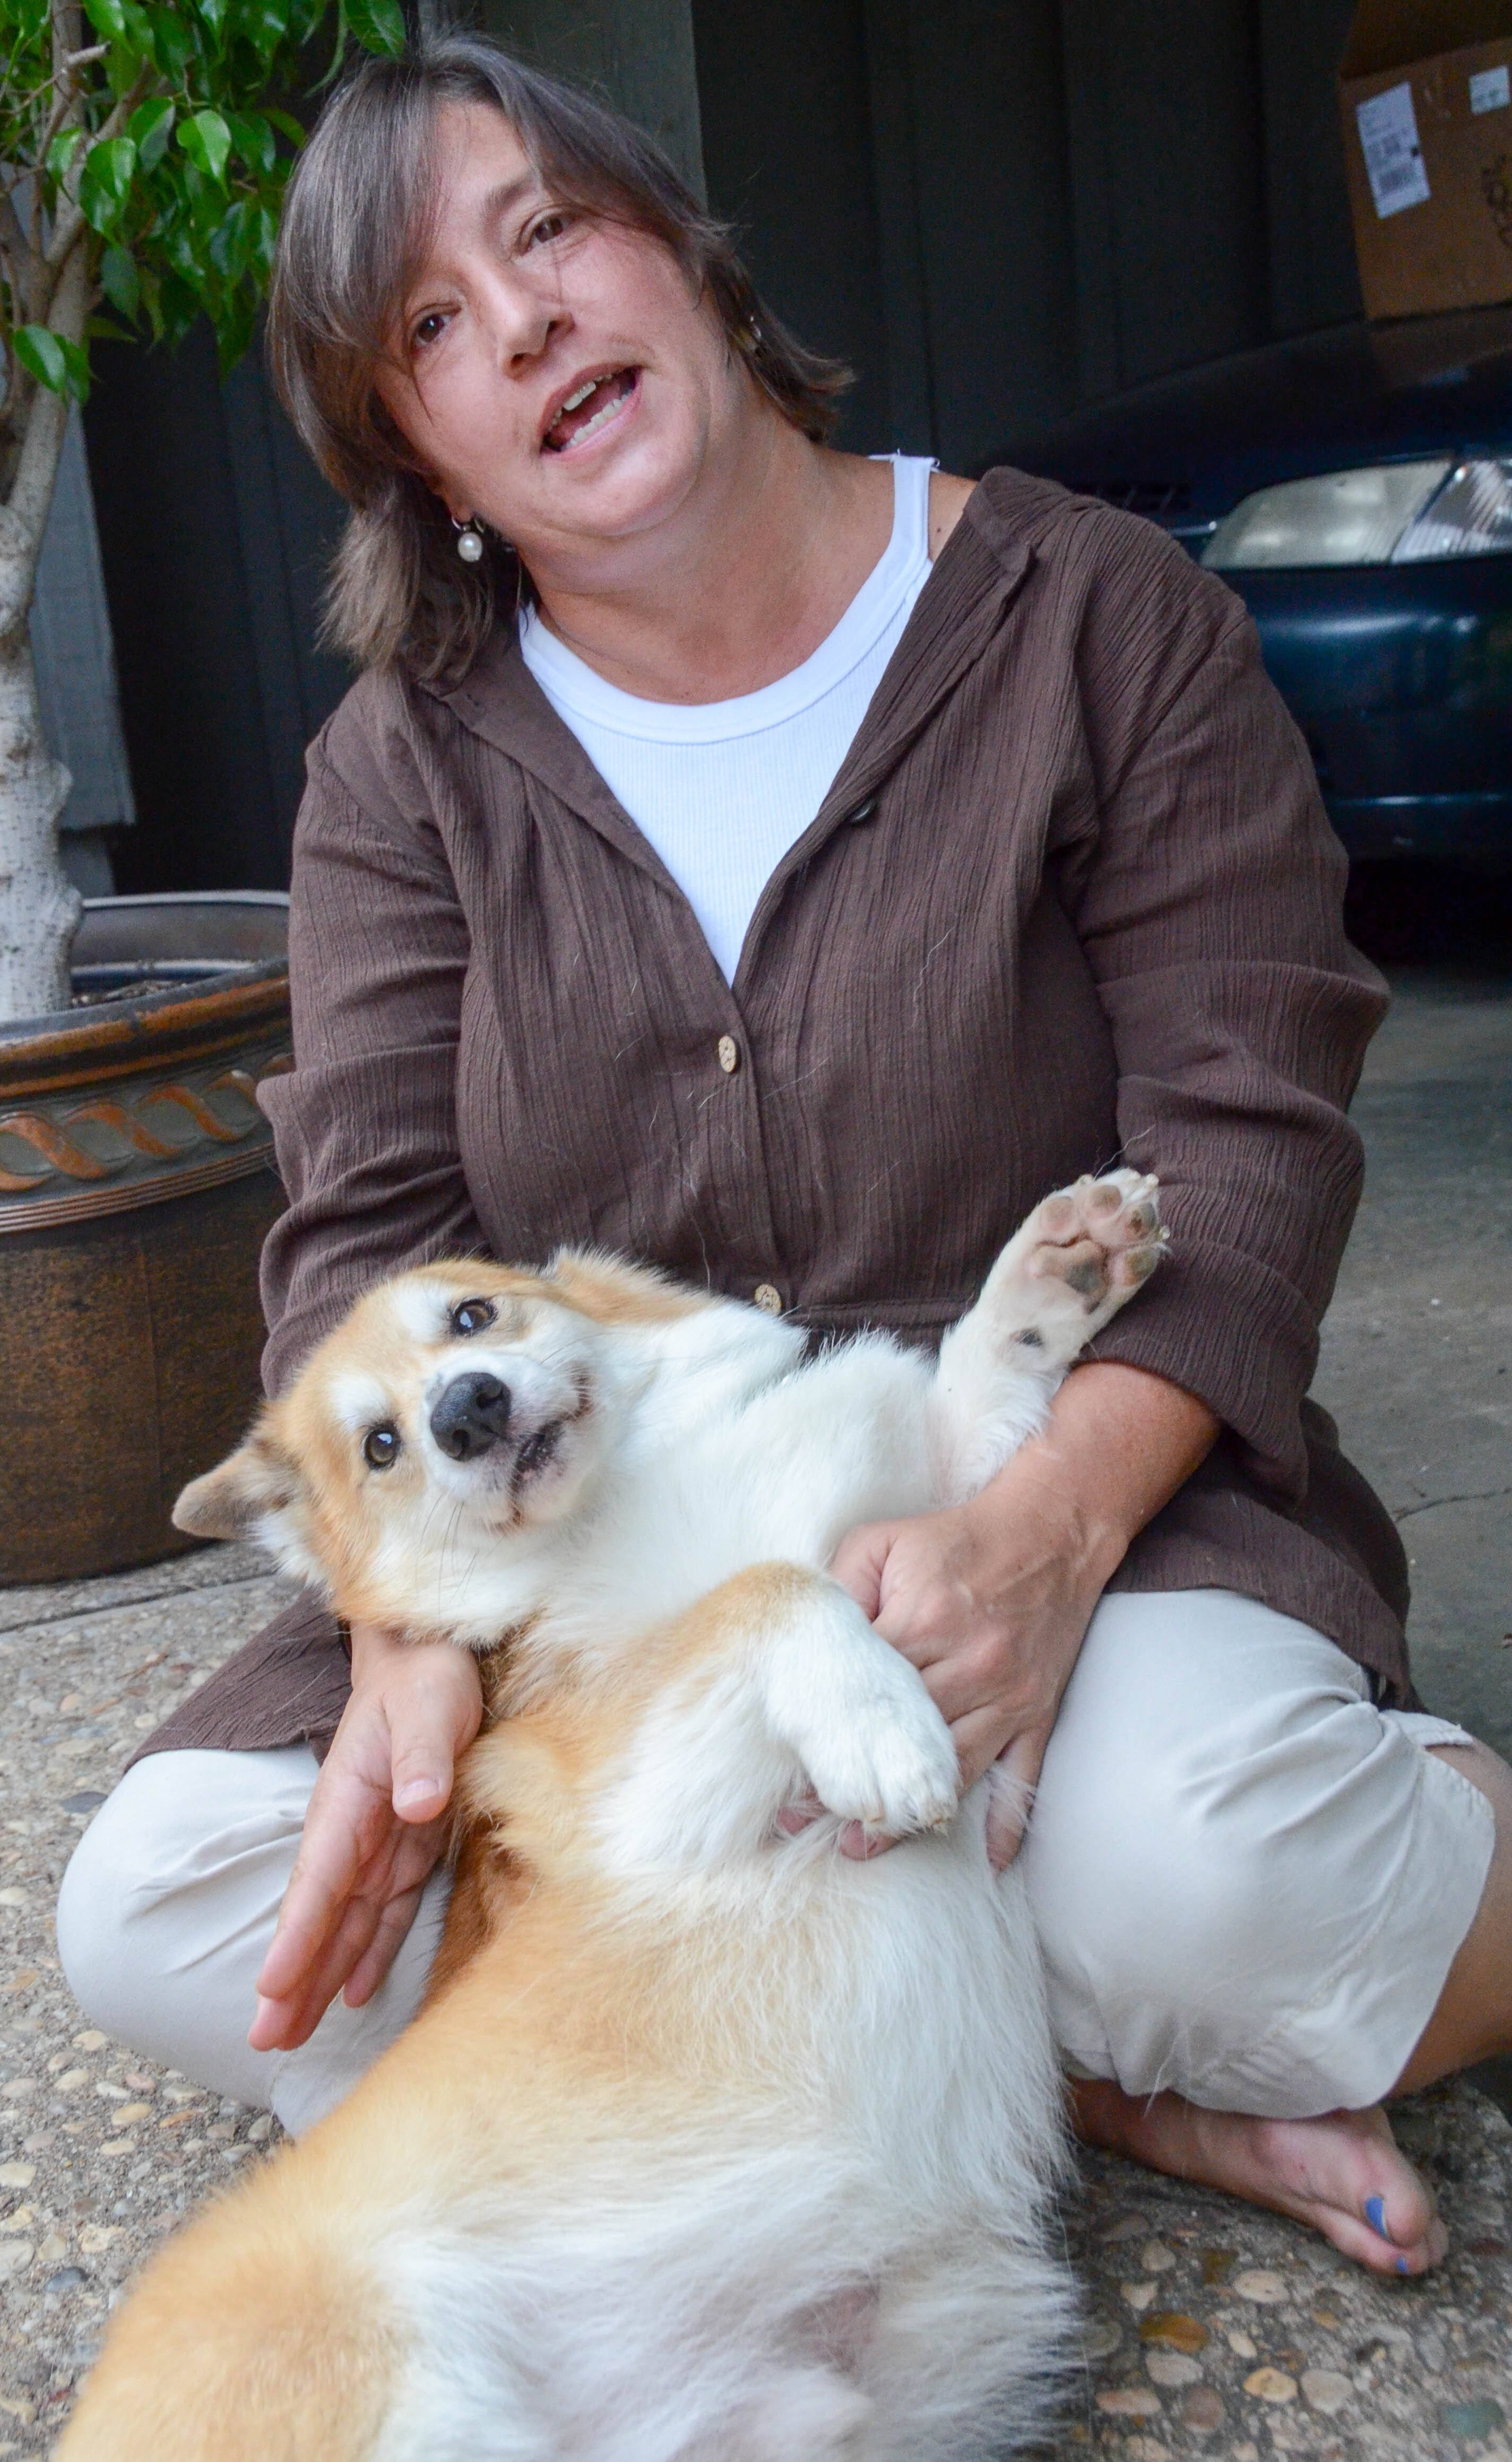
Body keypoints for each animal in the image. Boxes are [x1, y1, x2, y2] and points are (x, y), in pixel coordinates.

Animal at [59, 1162, 1167, 2452]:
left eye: (472, 1318)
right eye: (381, 1446)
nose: (467, 1412)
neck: (624, 1496)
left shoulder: (927, 1526)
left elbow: (977, 1386)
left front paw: (1060, 1266)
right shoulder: (638, 1788)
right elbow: (771, 1586)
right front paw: (877, 1722)